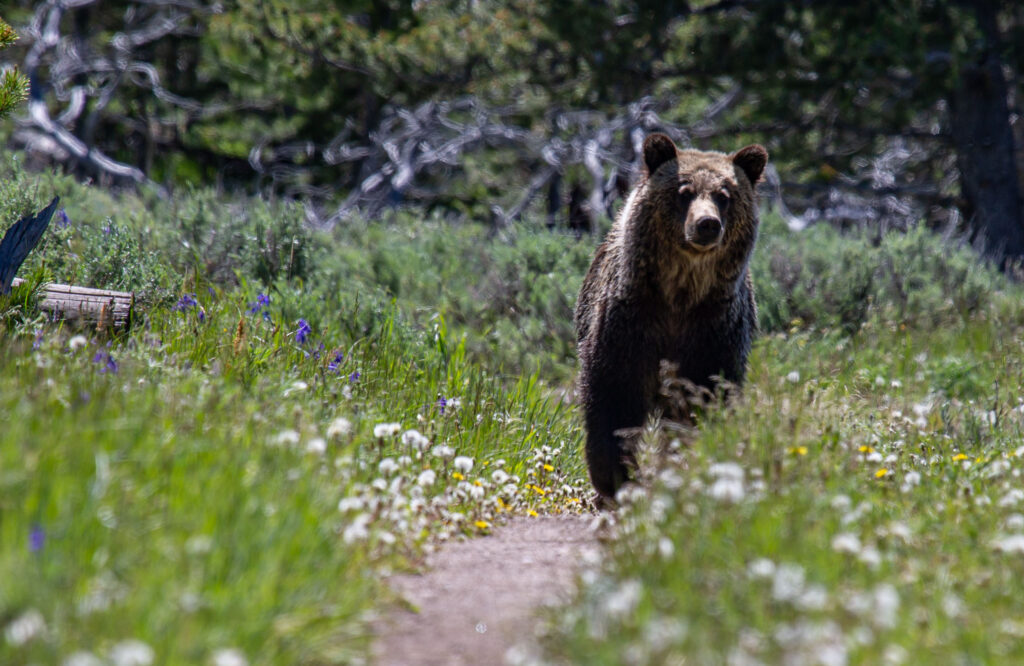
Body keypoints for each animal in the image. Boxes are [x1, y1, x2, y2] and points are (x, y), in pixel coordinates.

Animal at [573, 132, 765, 500]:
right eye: (684, 191)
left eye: (724, 196)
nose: (707, 224)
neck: (679, 295)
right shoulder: (631, 322)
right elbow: (614, 396)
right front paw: (614, 476)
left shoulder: (713, 329)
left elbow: (703, 397)